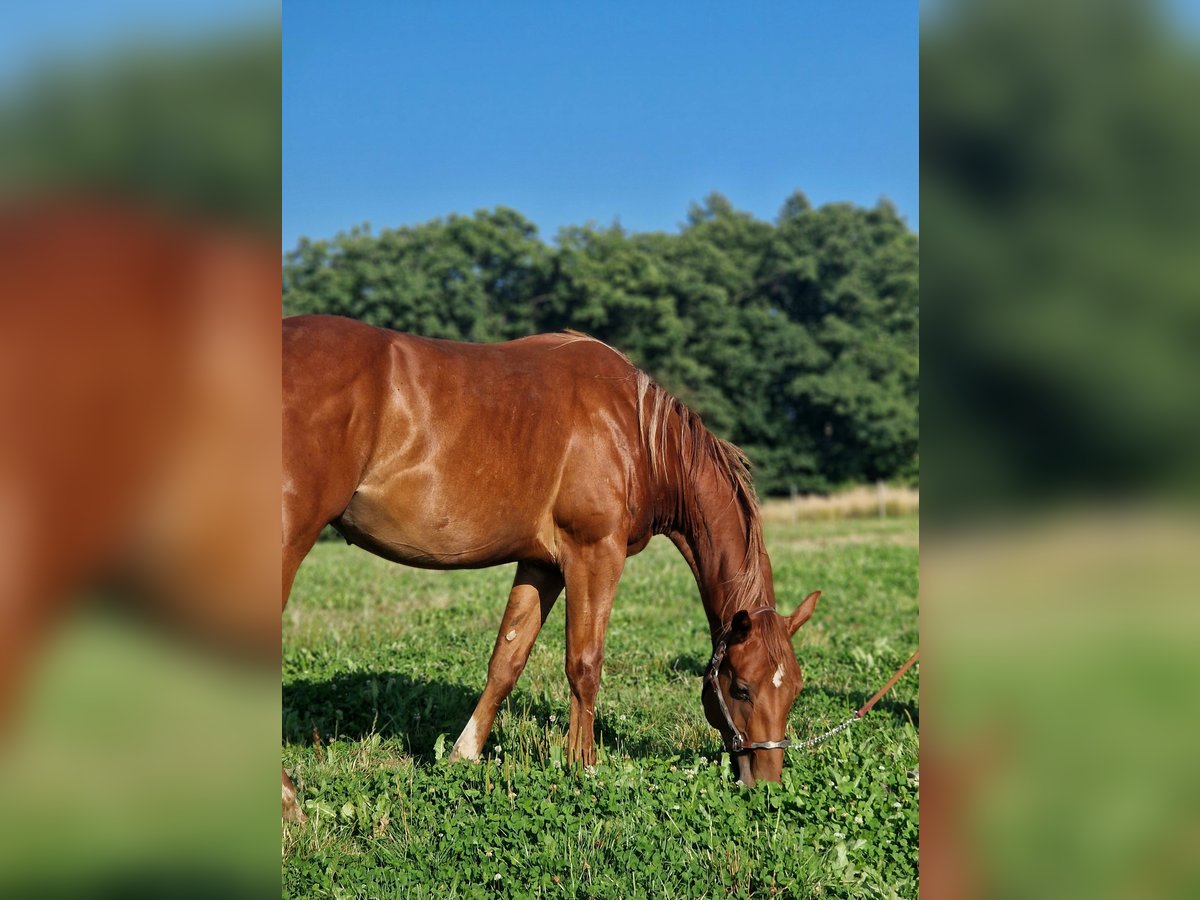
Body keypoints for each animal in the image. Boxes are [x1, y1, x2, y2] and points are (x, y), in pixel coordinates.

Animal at [281, 314, 823, 822]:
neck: (637, 434)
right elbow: (584, 665)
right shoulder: (594, 554)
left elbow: (507, 660)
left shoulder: (542, 565)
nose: (766, 784)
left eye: (795, 689)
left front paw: (463, 756)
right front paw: (583, 768)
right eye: (741, 687)